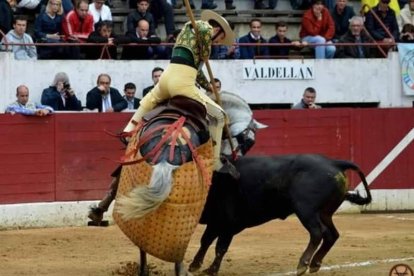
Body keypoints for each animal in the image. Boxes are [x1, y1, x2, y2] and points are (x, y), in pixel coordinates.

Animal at [189, 154, 374, 274]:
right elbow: (205, 241)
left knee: (318, 233)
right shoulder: (216, 222)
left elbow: (220, 247)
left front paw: (211, 270)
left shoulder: (228, 223)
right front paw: (195, 265)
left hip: (306, 210)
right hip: (325, 213)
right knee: (332, 235)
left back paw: (303, 264)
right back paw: (315, 263)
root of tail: (335, 163)